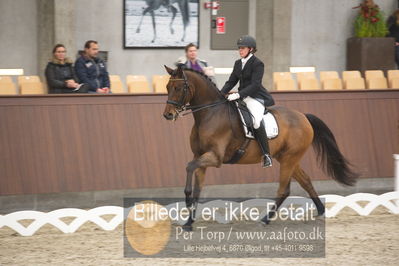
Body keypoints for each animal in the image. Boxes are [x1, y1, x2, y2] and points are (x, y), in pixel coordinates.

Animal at [162, 65, 360, 230]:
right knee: (305, 181)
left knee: (284, 189)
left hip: (289, 159)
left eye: (178, 88)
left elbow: (189, 167)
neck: (210, 114)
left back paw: (265, 219)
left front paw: (187, 201)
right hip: (288, 158)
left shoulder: (215, 157)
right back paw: (320, 211)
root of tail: (303, 116)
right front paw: (189, 222)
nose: (168, 115)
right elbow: (197, 187)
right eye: (167, 87)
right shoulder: (200, 156)